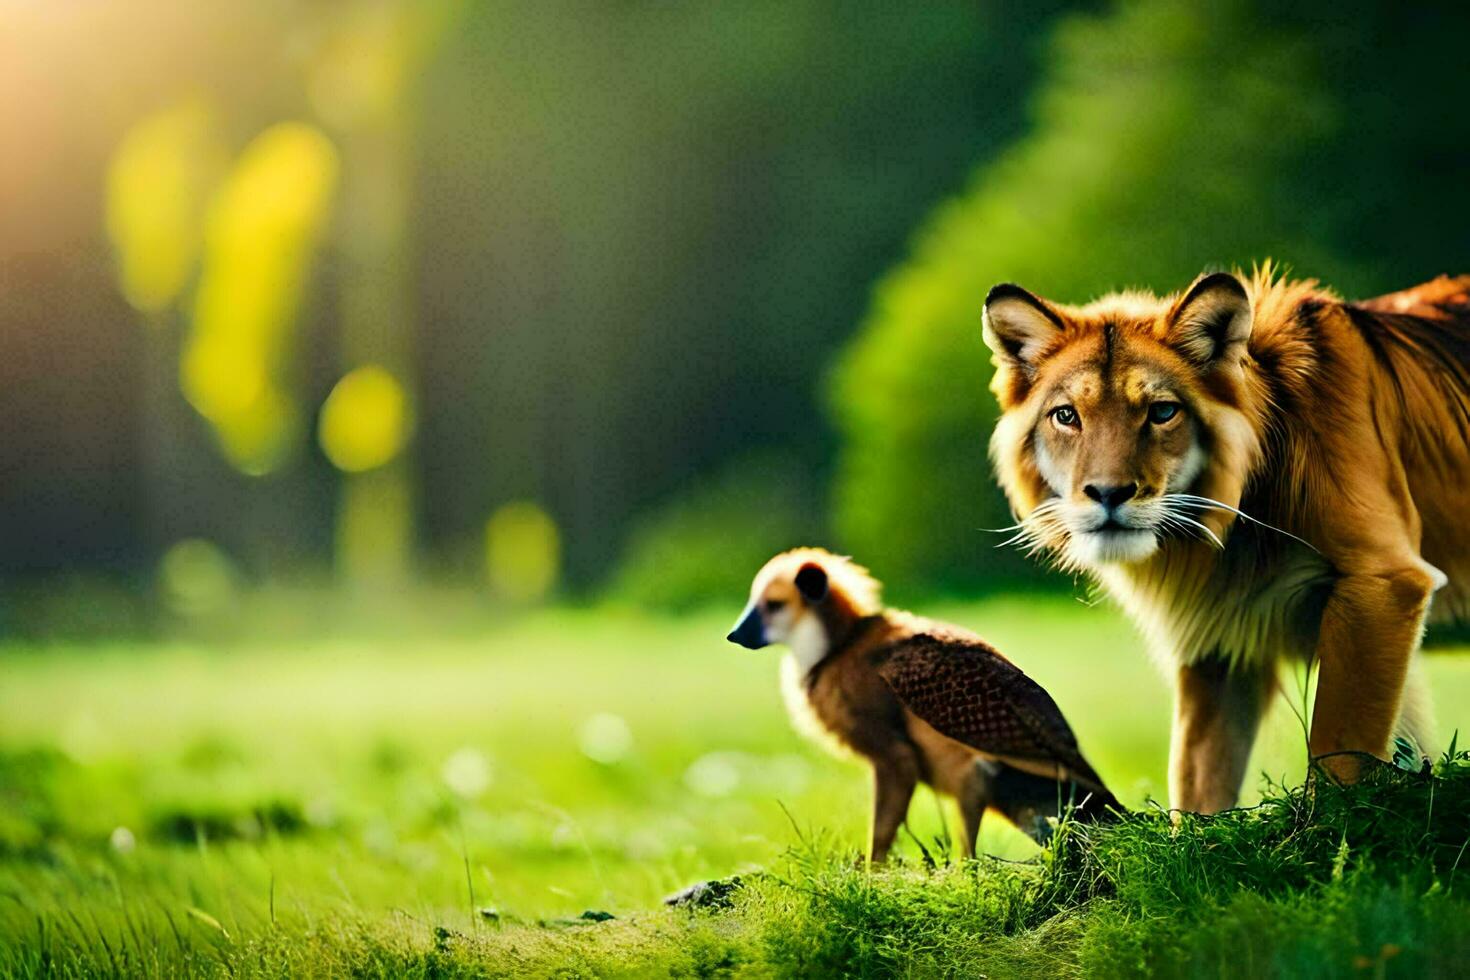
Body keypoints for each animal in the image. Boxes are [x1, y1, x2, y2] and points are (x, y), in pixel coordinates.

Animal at [976, 265, 1470, 811]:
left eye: (1161, 412)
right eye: (1066, 416)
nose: (1108, 493)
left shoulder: (1383, 582)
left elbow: (1339, 750)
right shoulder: (1217, 644)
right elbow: (1198, 782)